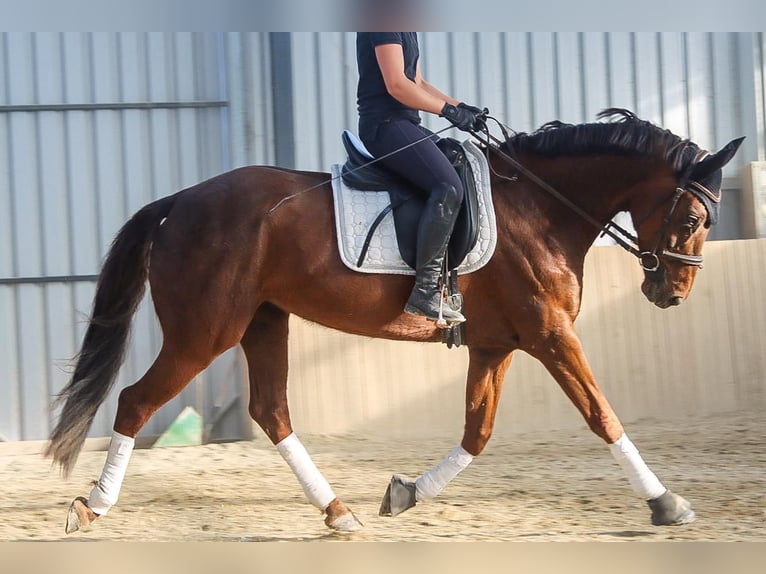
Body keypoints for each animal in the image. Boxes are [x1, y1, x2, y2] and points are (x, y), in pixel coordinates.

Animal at [46, 108, 744, 534]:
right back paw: (92, 507)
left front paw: (405, 493)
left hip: (264, 321)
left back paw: (337, 511)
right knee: (137, 401)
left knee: (272, 411)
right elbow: (602, 415)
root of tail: (177, 203)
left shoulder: (495, 345)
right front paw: (666, 502)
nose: (671, 292)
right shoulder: (550, 336)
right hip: (204, 333)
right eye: (692, 219)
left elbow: (477, 433)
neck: (541, 208)